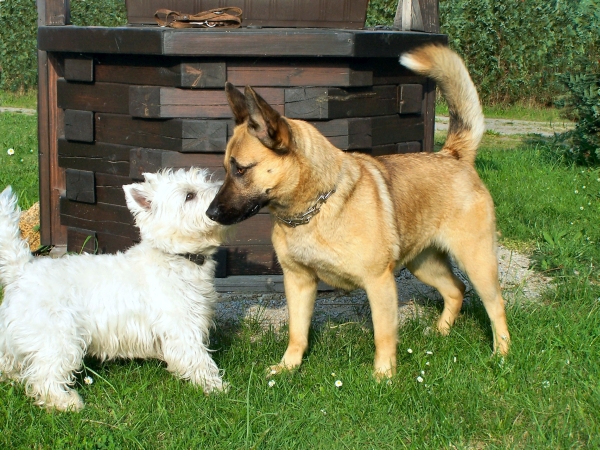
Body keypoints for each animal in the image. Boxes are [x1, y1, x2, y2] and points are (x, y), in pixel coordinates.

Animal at [0, 169, 229, 412]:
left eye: (204, 180)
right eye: (189, 195)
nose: (221, 189)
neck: (176, 257)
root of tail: (22, 271)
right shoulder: (181, 326)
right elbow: (196, 357)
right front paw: (215, 386)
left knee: (10, 360)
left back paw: (13, 378)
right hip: (57, 336)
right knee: (46, 376)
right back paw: (67, 402)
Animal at [207, 44, 510, 376]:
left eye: (240, 169)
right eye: (227, 169)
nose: (210, 214)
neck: (315, 208)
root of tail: (453, 154)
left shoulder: (379, 283)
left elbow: (384, 335)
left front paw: (384, 377)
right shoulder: (298, 282)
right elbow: (297, 332)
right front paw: (288, 367)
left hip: (477, 264)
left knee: (495, 306)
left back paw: (502, 354)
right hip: (424, 263)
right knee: (456, 289)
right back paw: (440, 332)